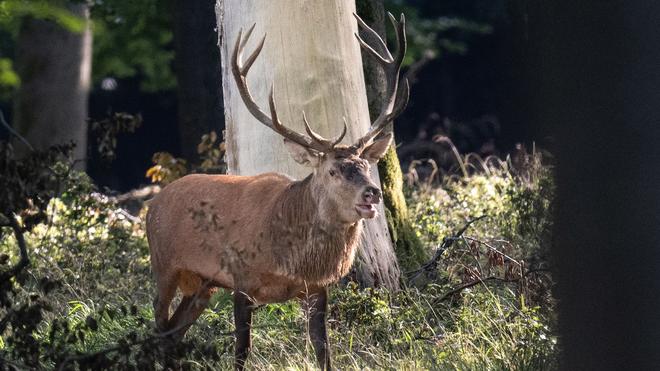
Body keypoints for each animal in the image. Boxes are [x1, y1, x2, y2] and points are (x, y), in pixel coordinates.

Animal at [146, 12, 408, 371]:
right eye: (332, 171)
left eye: (366, 167)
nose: (371, 193)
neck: (291, 258)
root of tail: (151, 206)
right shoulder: (241, 279)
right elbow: (242, 350)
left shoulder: (316, 288)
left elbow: (323, 350)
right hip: (164, 265)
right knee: (158, 326)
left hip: (202, 284)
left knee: (172, 334)